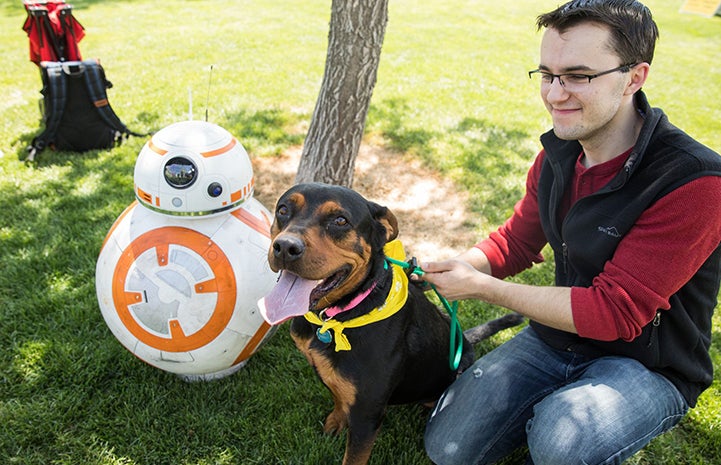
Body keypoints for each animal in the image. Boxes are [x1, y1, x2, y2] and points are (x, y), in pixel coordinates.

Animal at [262, 182, 520, 464]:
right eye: (283, 209)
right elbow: (337, 395)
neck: (340, 317)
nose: (285, 247)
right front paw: (335, 421)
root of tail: (466, 341)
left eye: (340, 220)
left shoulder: (367, 415)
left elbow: (353, 456)